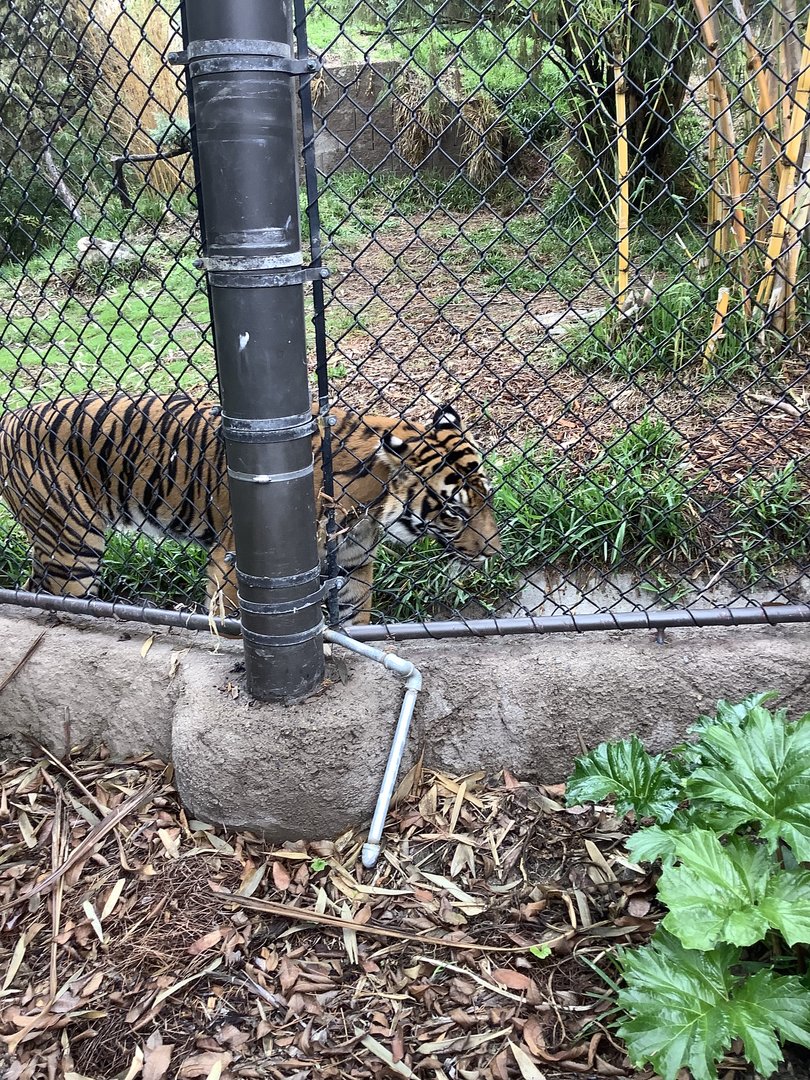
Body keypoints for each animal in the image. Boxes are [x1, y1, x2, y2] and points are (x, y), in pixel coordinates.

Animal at [0, 391, 501, 625]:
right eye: (454, 512)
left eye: (489, 497)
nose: (494, 554)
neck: (370, 513)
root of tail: (10, 417)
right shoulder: (236, 559)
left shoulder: (354, 564)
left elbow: (356, 615)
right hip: (73, 542)